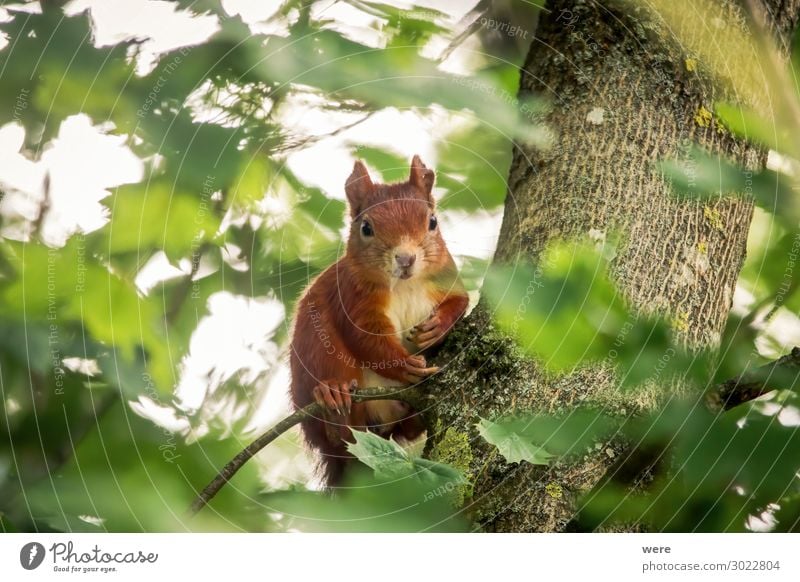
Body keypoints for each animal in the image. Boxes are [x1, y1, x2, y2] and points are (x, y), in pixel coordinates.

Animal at [290, 155, 472, 488]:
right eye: (366, 227)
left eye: (432, 222)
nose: (405, 258)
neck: (404, 285)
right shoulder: (353, 298)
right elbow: (367, 338)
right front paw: (404, 365)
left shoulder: (446, 278)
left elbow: (460, 302)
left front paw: (437, 327)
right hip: (315, 348)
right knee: (338, 433)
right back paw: (332, 397)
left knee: (406, 431)